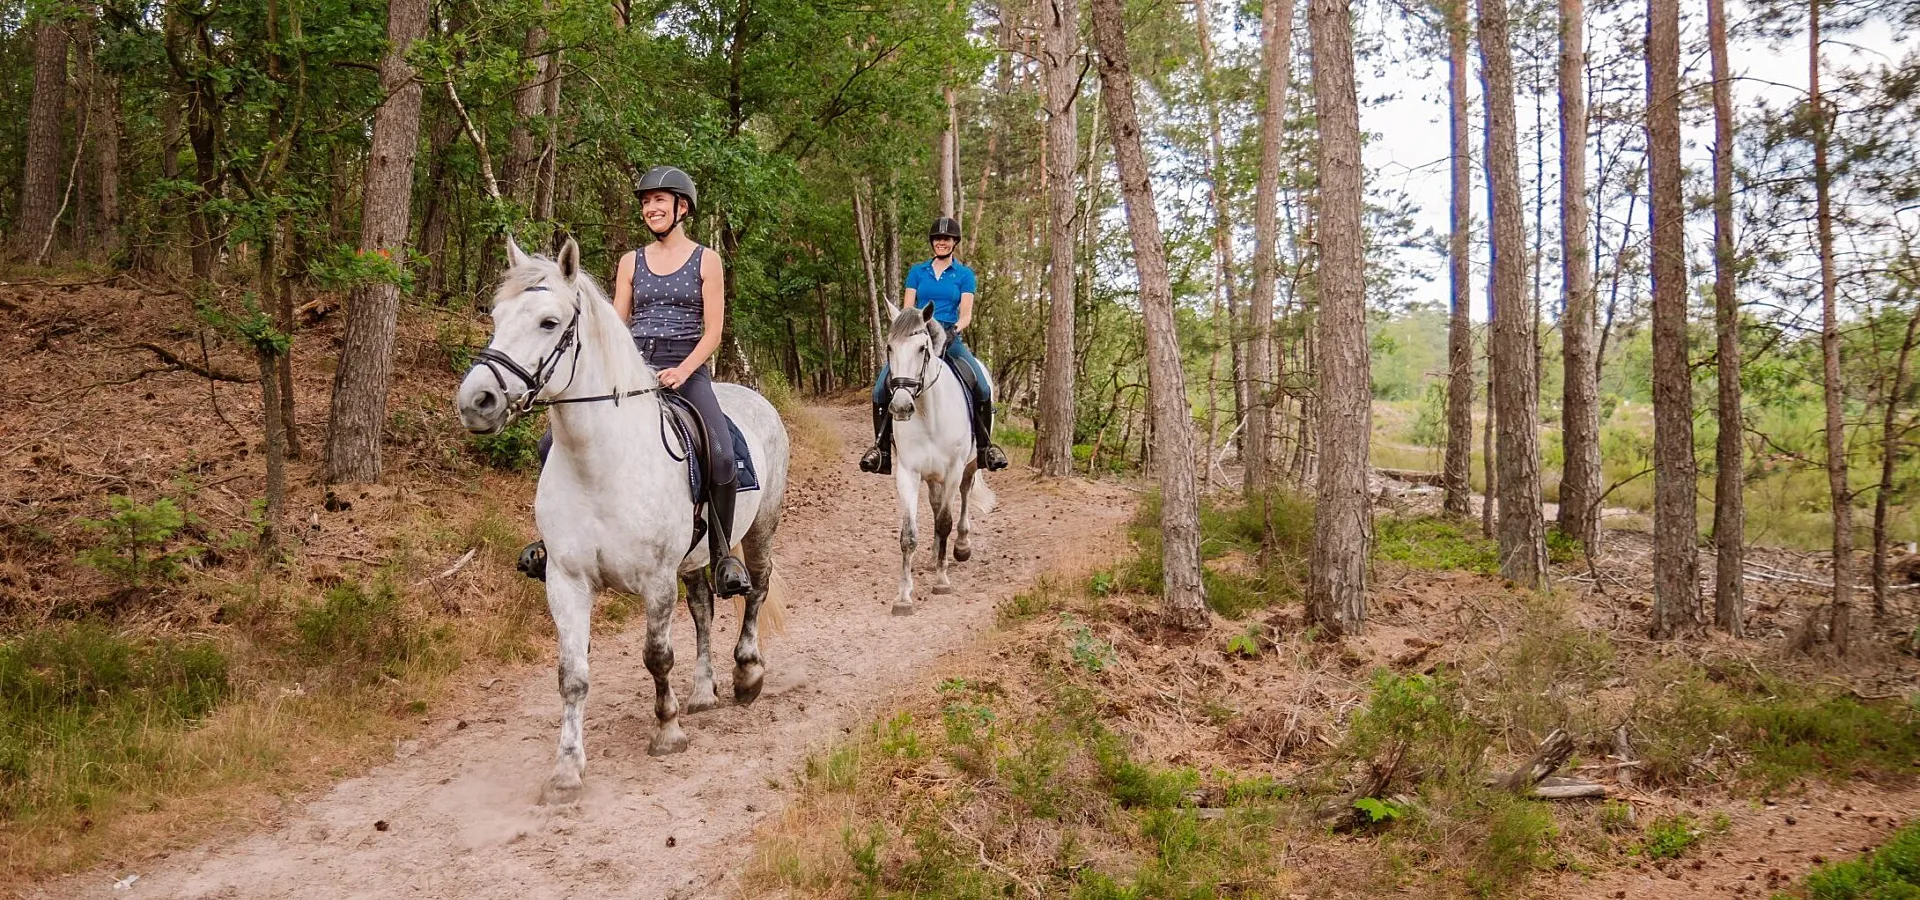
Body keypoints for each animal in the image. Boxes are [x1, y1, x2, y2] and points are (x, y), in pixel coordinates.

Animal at [456, 236, 787, 798]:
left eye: (548, 322)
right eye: (496, 316)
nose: (476, 401)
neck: (600, 463)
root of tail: (752, 397)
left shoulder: (656, 579)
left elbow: (657, 655)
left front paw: (667, 731)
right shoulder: (566, 581)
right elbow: (572, 675)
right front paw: (566, 770)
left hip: (760, 528)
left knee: (755, 590)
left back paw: (746, 676)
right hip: (693, 559)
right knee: (703, 608)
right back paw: (703, 693)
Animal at [879, 301, 998, 617]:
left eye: (922, 348)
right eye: (889, 347)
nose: (901, 406)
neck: (927, 412)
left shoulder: (954, 468)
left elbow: (945, 520)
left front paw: (942, 580)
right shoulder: (907, 473)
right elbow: (908, 534)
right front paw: (903, 596)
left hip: (969, 465)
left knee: (965, 495)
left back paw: (961, 546)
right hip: (931, 474)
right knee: (934, 502)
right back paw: (935, 554)